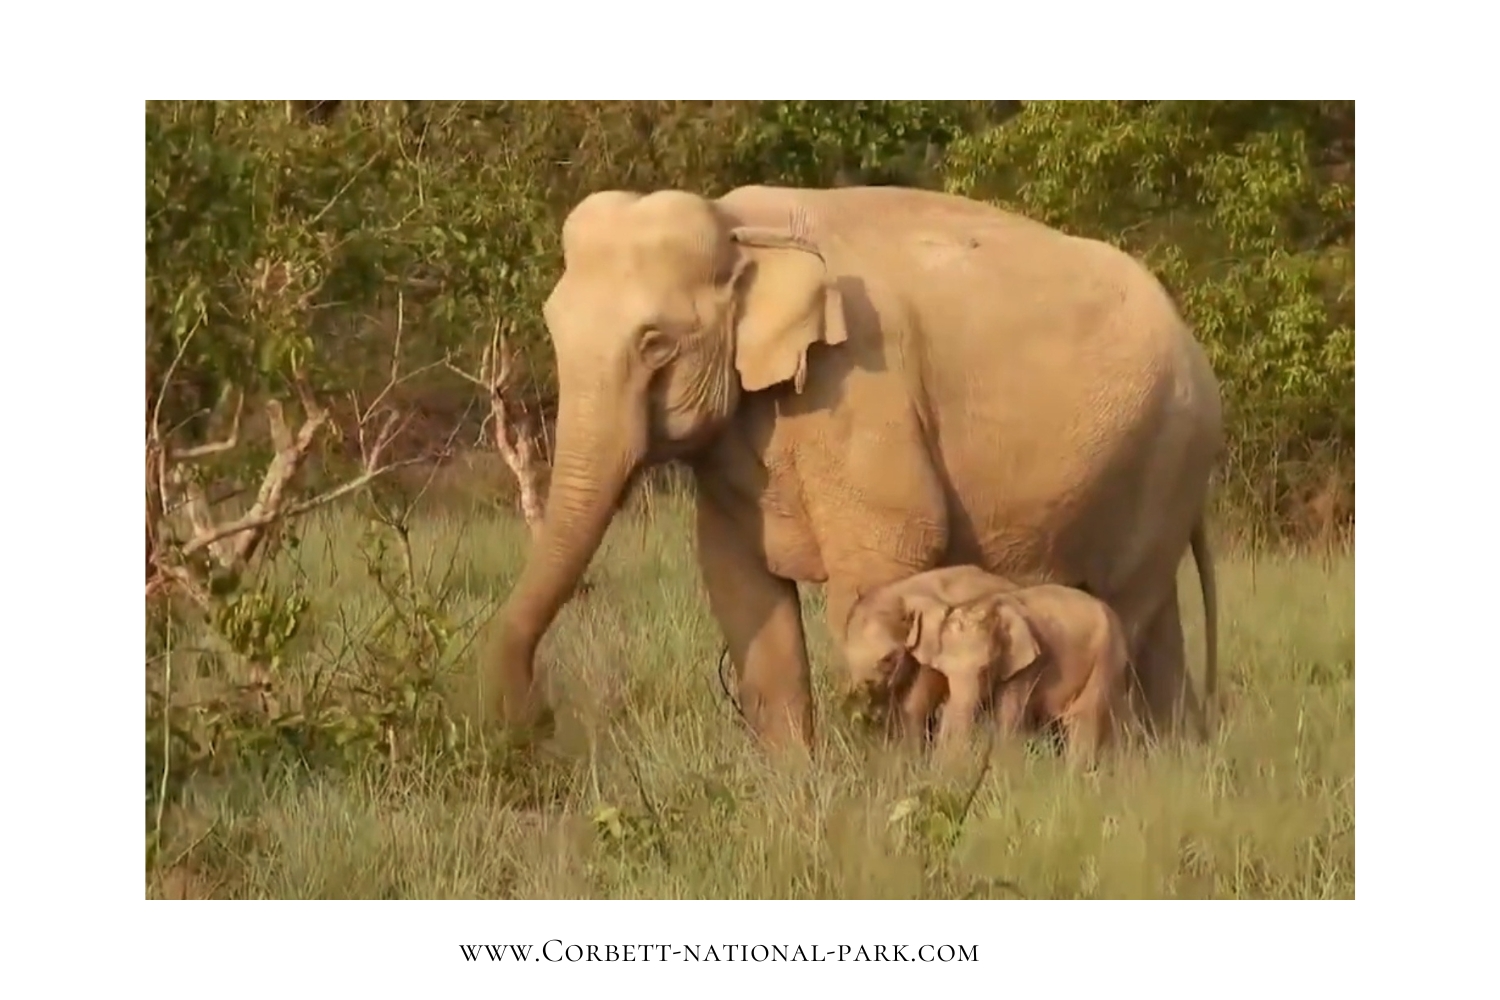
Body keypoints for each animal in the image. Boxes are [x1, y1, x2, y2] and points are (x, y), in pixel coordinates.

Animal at [907, 584, 1133, 762]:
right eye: (945, 671)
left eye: (985, 669)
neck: (987, 603)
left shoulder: (1026, 667)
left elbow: (1008, 715)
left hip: (1105, 657)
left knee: (1084, 718)